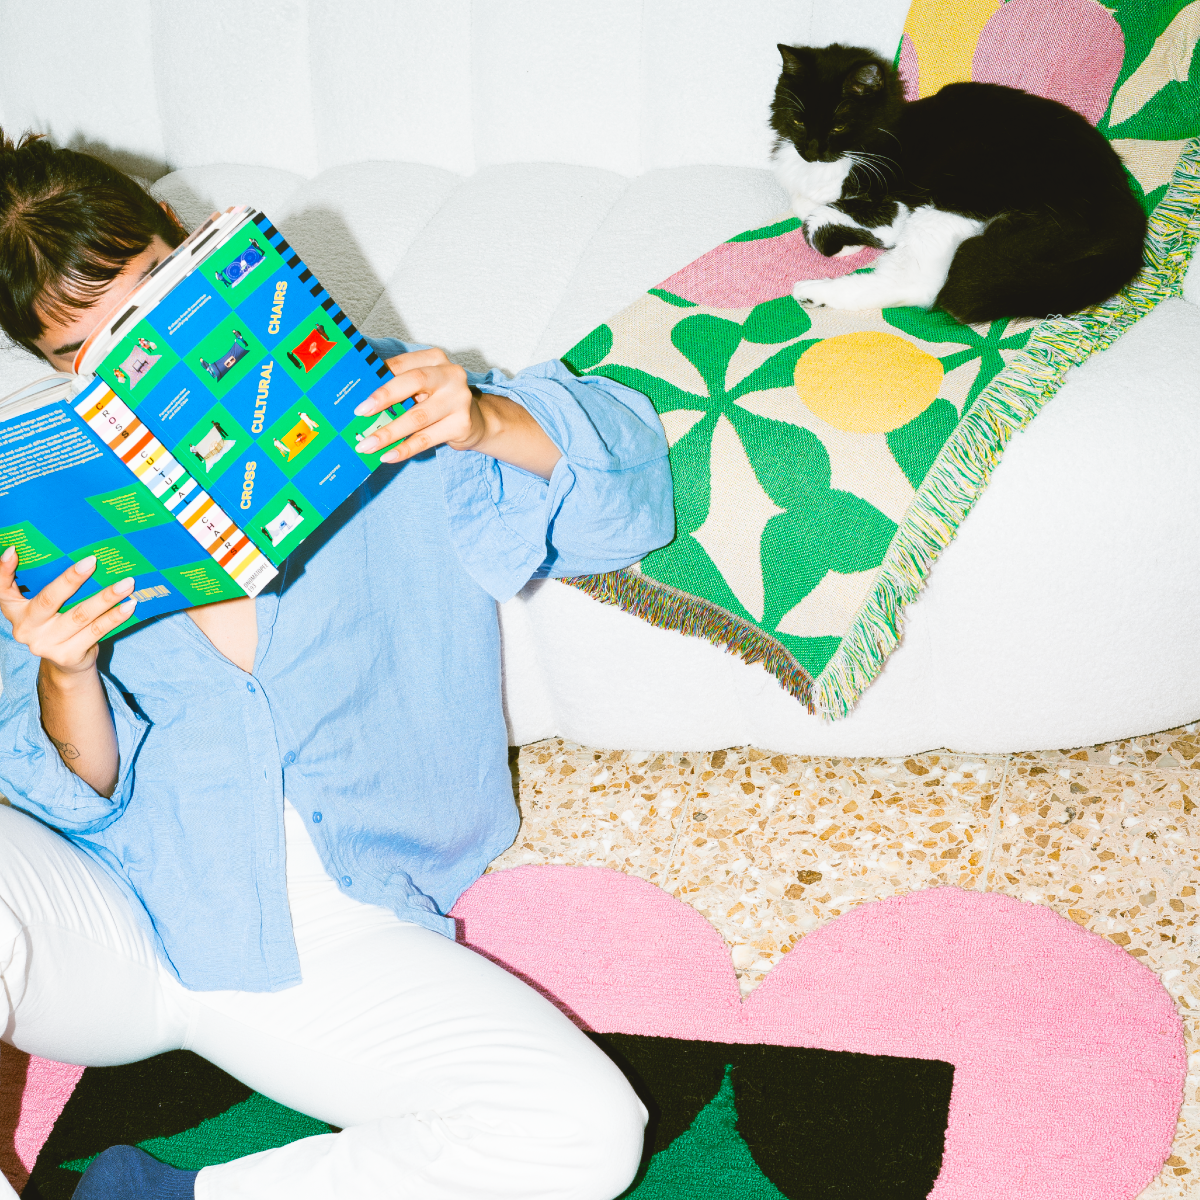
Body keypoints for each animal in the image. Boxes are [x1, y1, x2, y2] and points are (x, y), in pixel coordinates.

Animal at [769, 43, 1147, 324]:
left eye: (838, 126)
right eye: (798, 120)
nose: (811, 150)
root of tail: (1129, 218)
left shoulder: (892, 198)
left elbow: (816, 220)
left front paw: (847, 242)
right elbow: (805, 205)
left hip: (959, 197)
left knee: (918, 284)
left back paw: (814, 292)